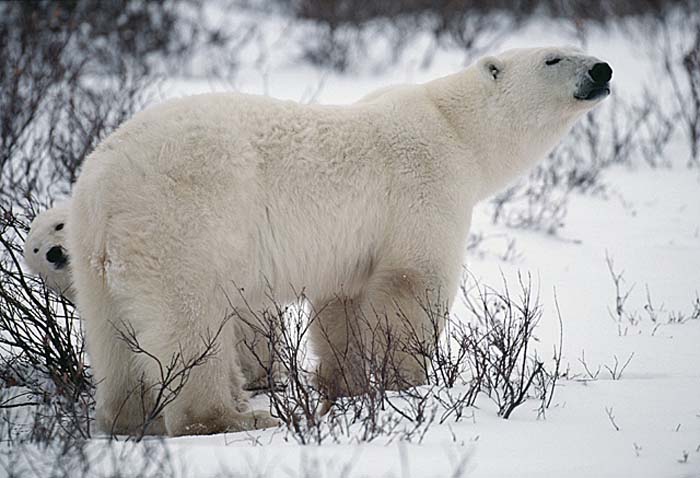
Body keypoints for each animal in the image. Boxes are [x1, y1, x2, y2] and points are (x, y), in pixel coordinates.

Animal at [67, 46, 612, 436]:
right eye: (553, 58)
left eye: (579, 47)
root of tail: (102, 182)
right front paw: (411, 387)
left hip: (94, 254)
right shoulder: (424, 186)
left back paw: (130, 417)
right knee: (190, 322)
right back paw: (233, 417)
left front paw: (344, 389)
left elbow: (342, 307)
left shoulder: (350, 251)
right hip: (181, 223)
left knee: (112, 333)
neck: (455, 128)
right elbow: (411, 284)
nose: (603, 69)